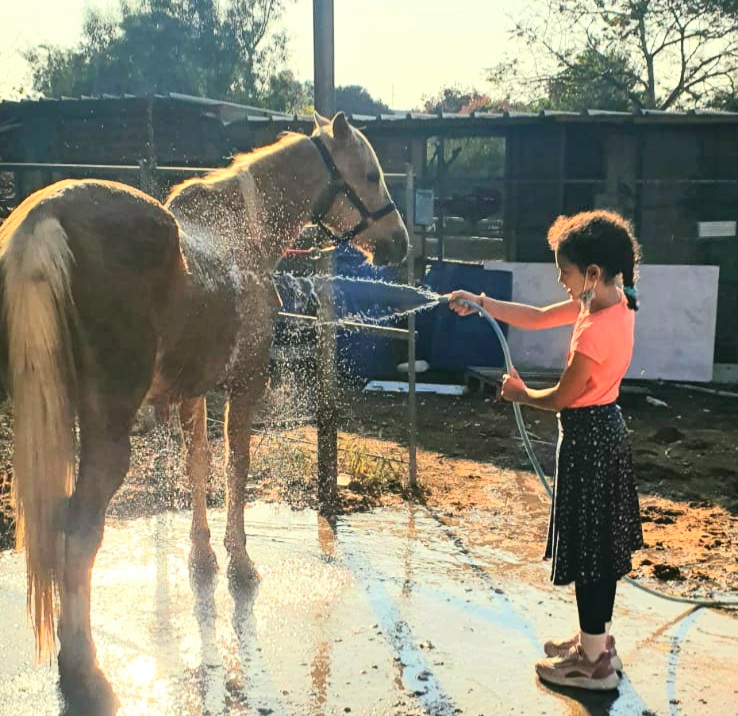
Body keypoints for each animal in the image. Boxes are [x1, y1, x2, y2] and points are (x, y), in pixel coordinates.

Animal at [0, 111, 408, 712]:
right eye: (372, 174)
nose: (399, 243)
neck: (244, 236)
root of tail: (48, 215)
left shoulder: (194, 393)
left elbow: (197, 467)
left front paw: (201, 557)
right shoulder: (245, 385)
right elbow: (236, 468)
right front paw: (239, 562)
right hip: (106, 433)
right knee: (80, 533)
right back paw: (83, 672)